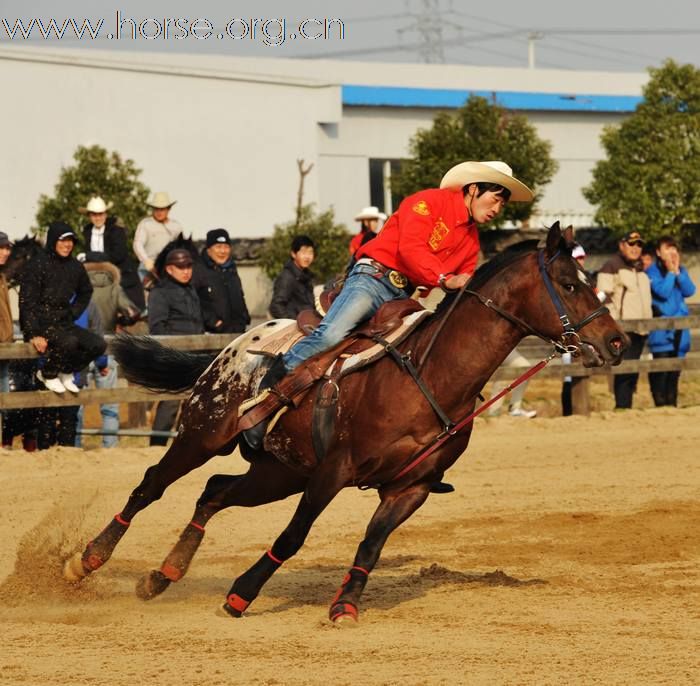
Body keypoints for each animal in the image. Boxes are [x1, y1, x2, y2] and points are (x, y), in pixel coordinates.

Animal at [63, 224, 628, 624]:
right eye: (570, 283)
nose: (618, 342)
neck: (430, 375)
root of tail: (231, 348)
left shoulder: (409, 488)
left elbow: (371, 546)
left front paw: (345, 605)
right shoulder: (334, 471)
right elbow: (294, 536)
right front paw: (241, 595)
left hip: (278, 472)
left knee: (214, 492)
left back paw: (163, 575)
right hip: (203, 435)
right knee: (153, 485)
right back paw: (86, 560)